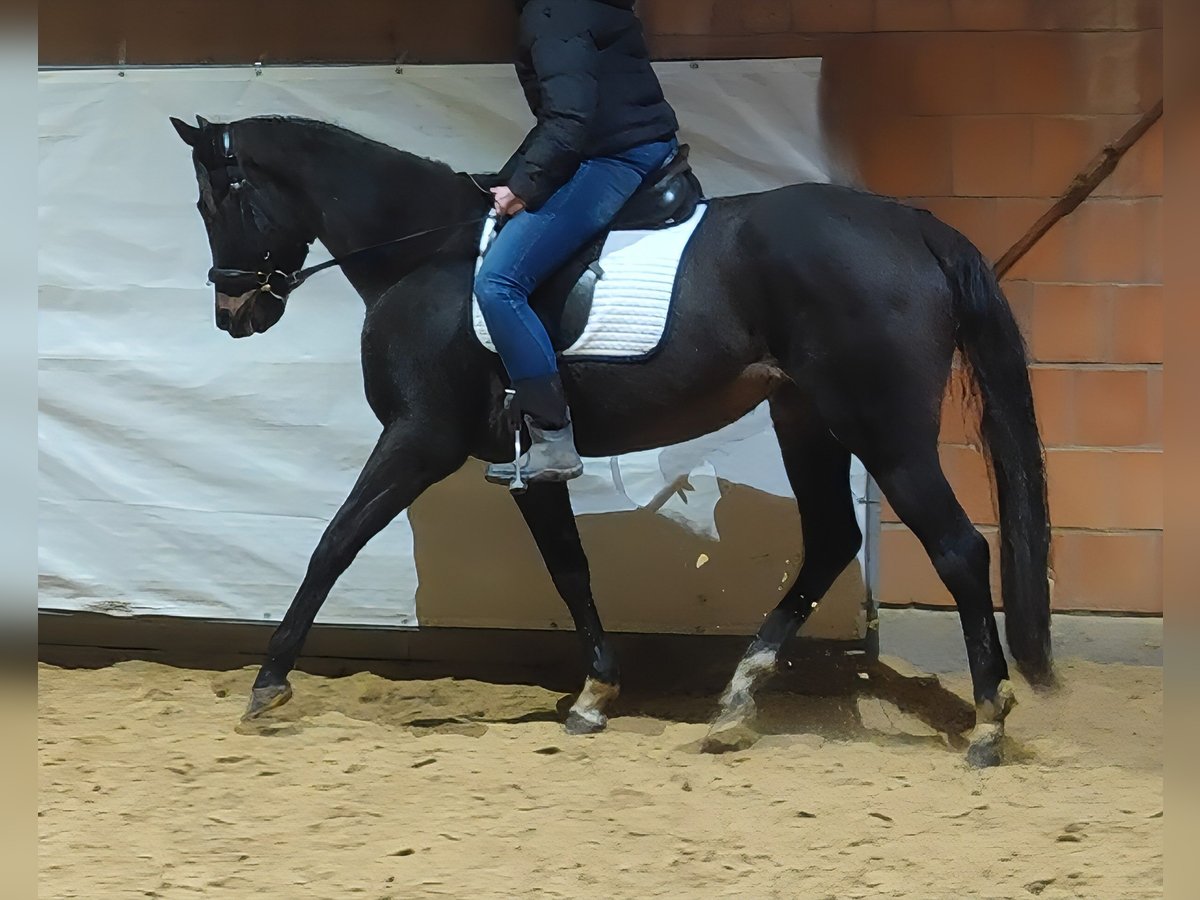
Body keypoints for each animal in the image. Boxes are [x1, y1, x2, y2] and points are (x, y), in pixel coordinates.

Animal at [169, 113, 1053, 767]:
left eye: (216, 205)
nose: (233, 314)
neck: (427, 255)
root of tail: (915, 226)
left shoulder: (419, 439)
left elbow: (334, 543)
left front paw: (268, 682)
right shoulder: (528, 464)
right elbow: (569, 569)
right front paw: (595, 696)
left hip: (881, 427)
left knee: (958, 548)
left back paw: (987, 722)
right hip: (805, 417)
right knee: (833, 538)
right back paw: (736, 702)